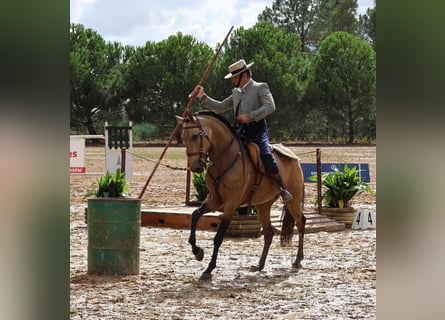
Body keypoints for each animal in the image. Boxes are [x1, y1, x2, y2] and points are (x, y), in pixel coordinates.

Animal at [174, 110, 306, 280]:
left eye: (195, 136)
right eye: (183, 138)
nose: (196, 167)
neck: (225, 158)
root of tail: (295, 160)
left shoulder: (231, 205)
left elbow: (218, 237)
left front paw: (209, 269)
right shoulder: (214, 200)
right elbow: (195, 215)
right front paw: (198, 252)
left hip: (293, 201)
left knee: (301, 223)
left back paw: (298, 260)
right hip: (263, 206)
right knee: (268, 233)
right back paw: (259, 265)